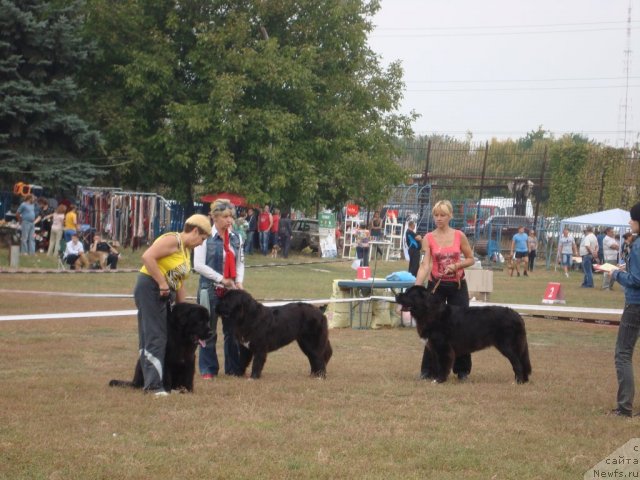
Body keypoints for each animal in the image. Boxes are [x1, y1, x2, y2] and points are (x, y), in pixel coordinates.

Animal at [396, 284, 528, 382]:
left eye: (409, 294)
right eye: (405, 291)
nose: (397, 295)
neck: (429, 312)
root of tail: (517, 315)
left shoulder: (443, 347)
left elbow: (443, 364)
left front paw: (439, 380)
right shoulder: (434, 347)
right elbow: (437, 364)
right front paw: (435, 378)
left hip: (507, 346)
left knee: (518, 363)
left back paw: (518, 381)